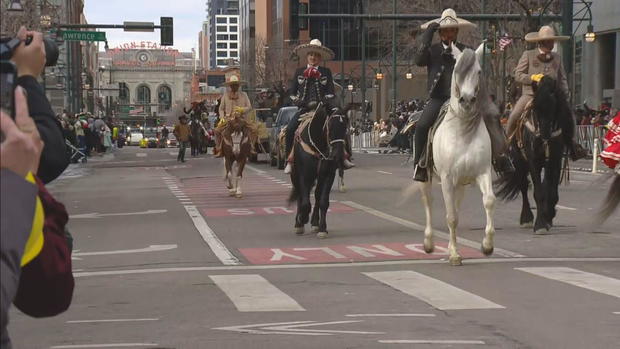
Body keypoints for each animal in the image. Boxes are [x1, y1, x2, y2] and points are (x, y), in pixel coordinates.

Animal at [286, 103, 348, 238]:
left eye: (345, 126)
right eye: (330, 126)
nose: (338, 156)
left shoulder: (329, 174)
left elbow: (324, 201)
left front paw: (322, 228)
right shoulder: (304, 175)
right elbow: (305, 202)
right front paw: (302, 218)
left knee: (317, 195)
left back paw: (315, 222)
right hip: (296, 175)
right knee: (300, 194)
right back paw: (299, 222)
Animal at [404, 44, 496, 266]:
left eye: (478, 71)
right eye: (456, 71)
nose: (467, 100)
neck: (463, 131)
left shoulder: (482, 173)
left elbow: (488, 200)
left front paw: (487, 245)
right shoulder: (446, 178)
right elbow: (451, 217)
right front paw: (454, 254)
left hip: (460, 183)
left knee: (455, 205)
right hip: (426, 178)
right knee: (429, 202)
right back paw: (429, 243)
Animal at [494, 76, 568, 234]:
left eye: (554, 105)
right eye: (535, 107)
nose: (544, 135)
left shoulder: (555, 159)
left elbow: (551, 191)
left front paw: (548, 215)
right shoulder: (533, 160)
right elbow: (538, 192)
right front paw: (540, 224)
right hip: (520, 161)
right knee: (523, 185)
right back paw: (526, 217)